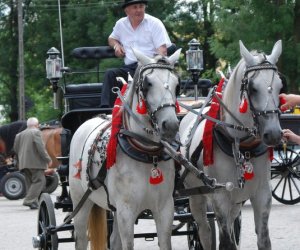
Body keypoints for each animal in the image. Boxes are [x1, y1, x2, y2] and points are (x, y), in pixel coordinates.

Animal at [68, 47, 180, 249]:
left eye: (177, 85)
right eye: (148, 84)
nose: (171, 125)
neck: (146, 153)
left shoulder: (165, 208)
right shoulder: (126, 212)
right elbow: (128, 244)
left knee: (113, 240)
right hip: (81, 200)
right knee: (81, 238)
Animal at [180, 40, 284, 249]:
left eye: (280, 86)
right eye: (252, 88)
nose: (274, 134)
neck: (241, 146)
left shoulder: (262, 194)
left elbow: (263, 239)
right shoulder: (220, 197)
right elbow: (226, 242)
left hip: (237, 201)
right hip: (196, 196)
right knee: (204, 231)